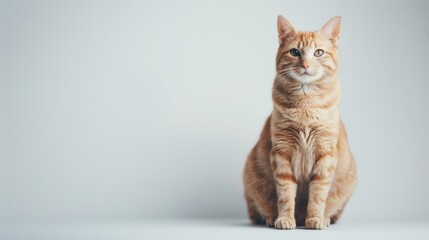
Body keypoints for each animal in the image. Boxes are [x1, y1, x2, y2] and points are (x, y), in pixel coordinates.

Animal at [242, 15, 356, 230]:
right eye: (295, 52)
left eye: (318, 52)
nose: (305, 65)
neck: (306, 104)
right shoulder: (281, 151)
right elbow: (285, 193)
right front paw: (285, 218)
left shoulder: (325, 153)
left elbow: (318, 193)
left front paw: (316, 218)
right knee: (257, 211)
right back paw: (270, 217)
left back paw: (324, 218)